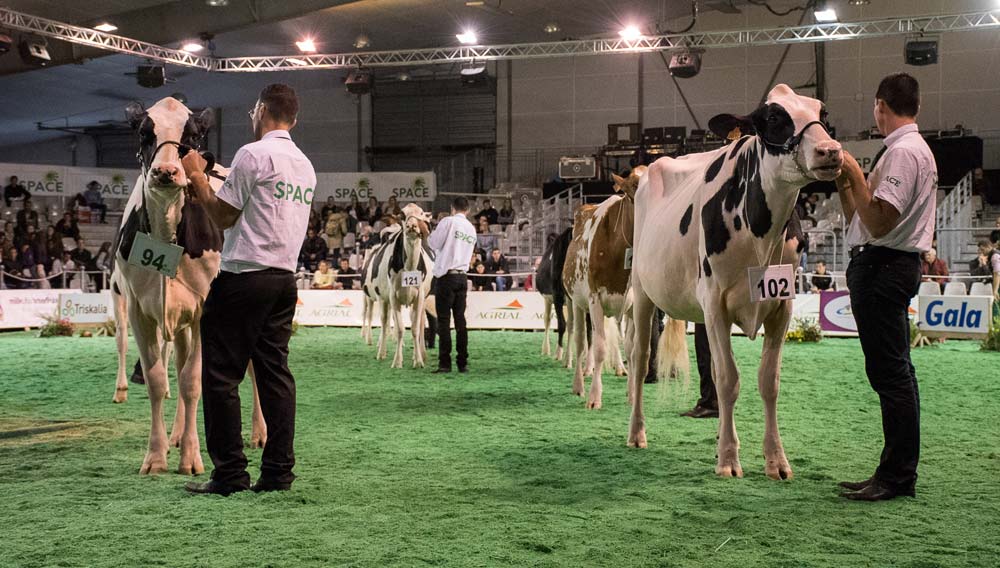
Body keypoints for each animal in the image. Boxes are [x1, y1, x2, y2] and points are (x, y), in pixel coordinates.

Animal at [628, 82, 840, 478]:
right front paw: (728, 459)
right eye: (772, 117)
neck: (760, 235)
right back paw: (636, 433)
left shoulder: (781, 306)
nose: (830, 150)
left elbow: (767, 381)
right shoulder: (715, 301)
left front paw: (776, 460)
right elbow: (729, 380)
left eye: (822, 112)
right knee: (639, 357)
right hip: (643, 292)